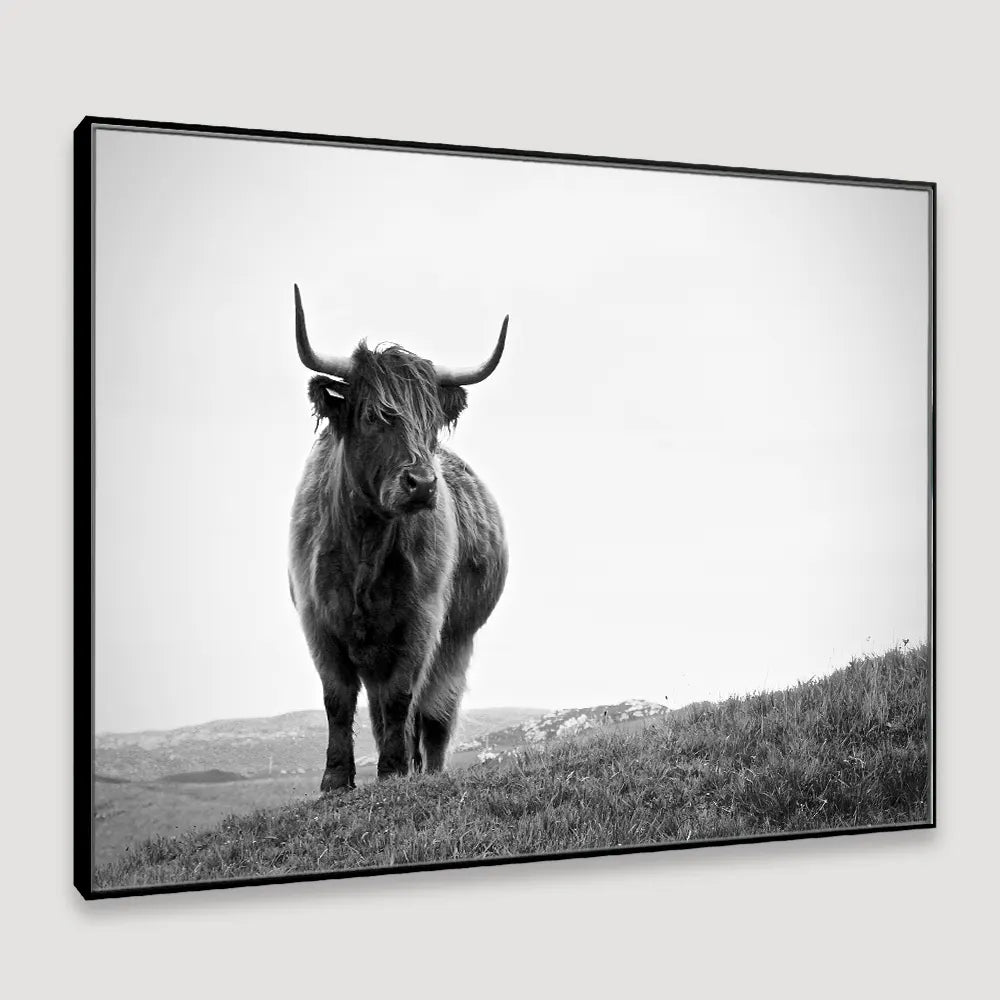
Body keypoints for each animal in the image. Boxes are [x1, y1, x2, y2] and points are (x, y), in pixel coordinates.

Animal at [288, 285, 509, 794]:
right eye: (373, 416)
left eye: (430, 424)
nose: (422, 484)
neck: (365, 545)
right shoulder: (317, 620)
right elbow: (337, 698)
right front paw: (335, 780)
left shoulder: (421, 622)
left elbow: (401, 698)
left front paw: (391, 771)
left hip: (457, 641)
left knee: (433, 716)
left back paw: (424, 769)